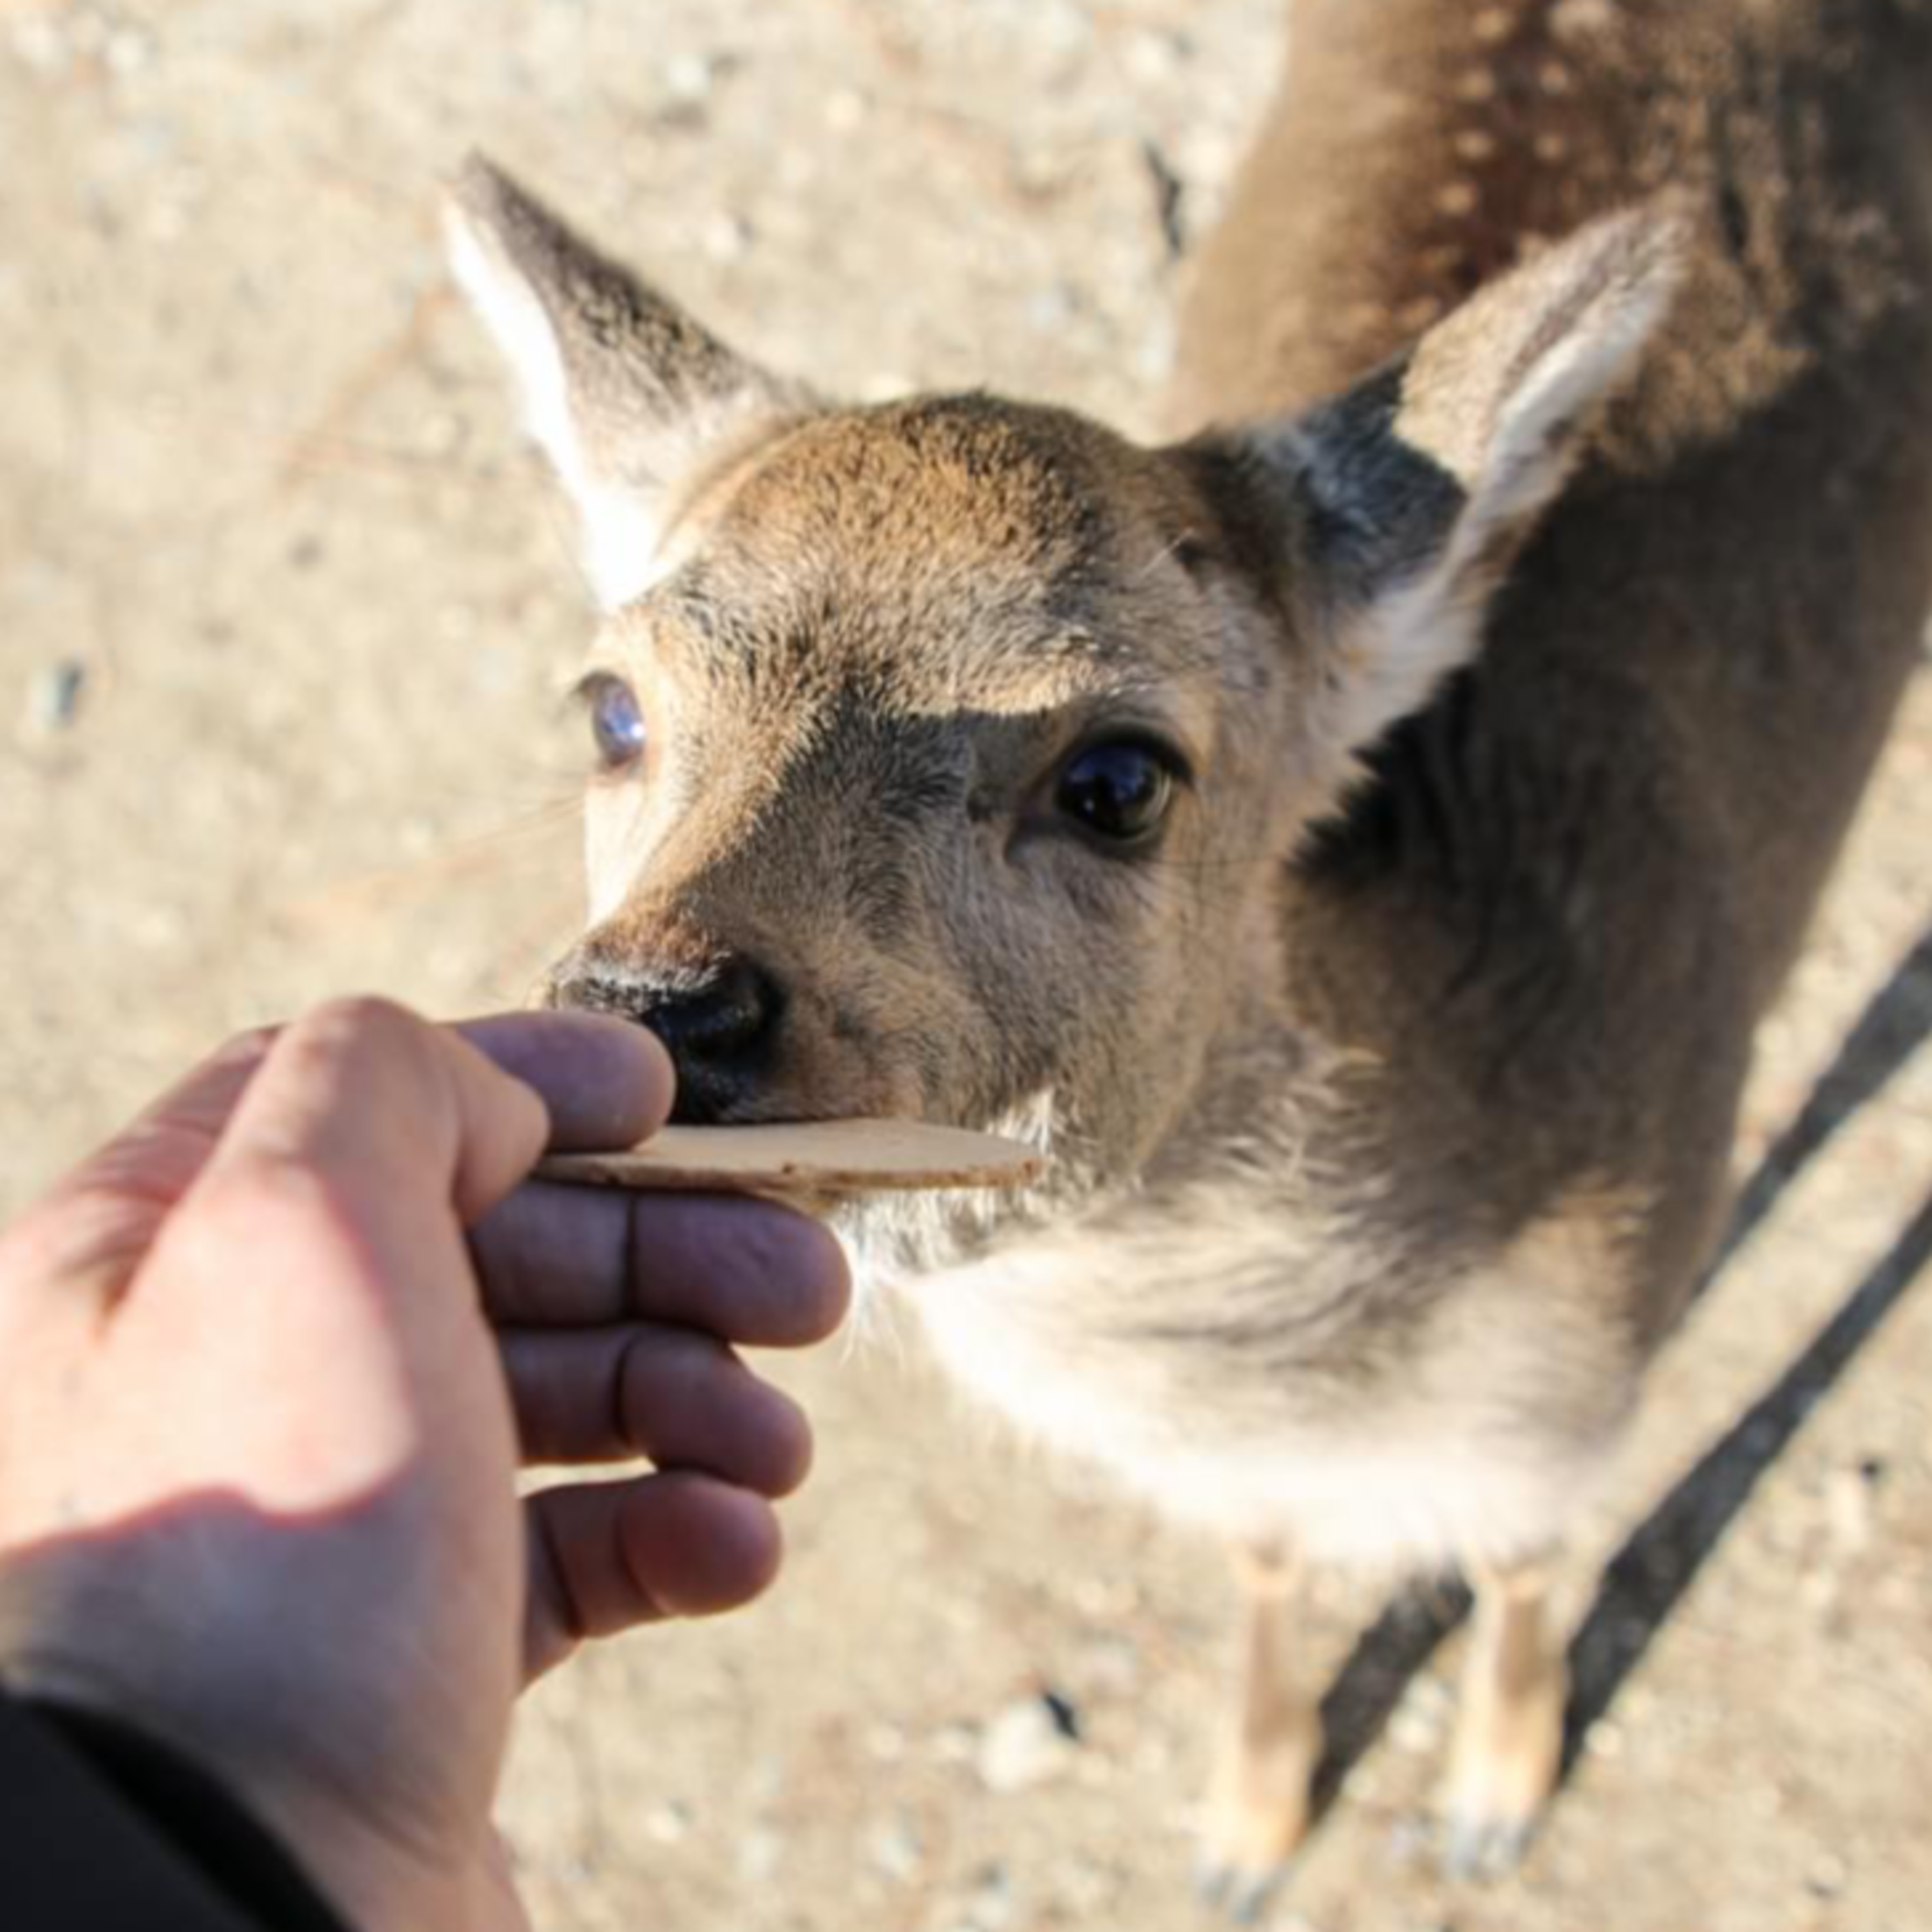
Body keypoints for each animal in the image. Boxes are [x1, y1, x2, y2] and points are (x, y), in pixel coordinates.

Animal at [444, 0, 1932, 1906]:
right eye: (612, 705)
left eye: (1118, 778)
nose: (657, 1011)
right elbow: (1267, 1558)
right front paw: (1244, 1830)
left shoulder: (1604, 1366)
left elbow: (1525, 1563)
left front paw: (1492, 1803)